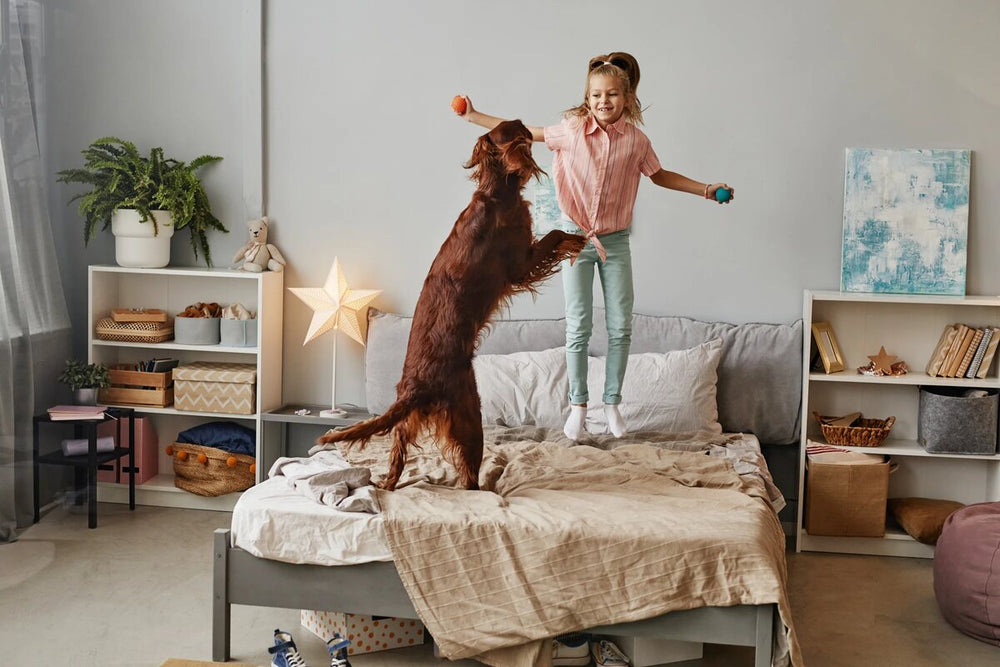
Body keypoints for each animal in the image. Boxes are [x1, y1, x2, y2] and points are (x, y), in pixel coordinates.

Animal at [316, 121, 584, 490]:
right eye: (515, 133)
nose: (531, 128)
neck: (497, 193)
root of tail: (417, 387)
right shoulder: (520, 263)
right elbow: (555, 234)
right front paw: (577, 238)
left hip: (411, 423)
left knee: (397, 460)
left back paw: (387, 485)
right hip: (470, 418)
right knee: (469, 480)